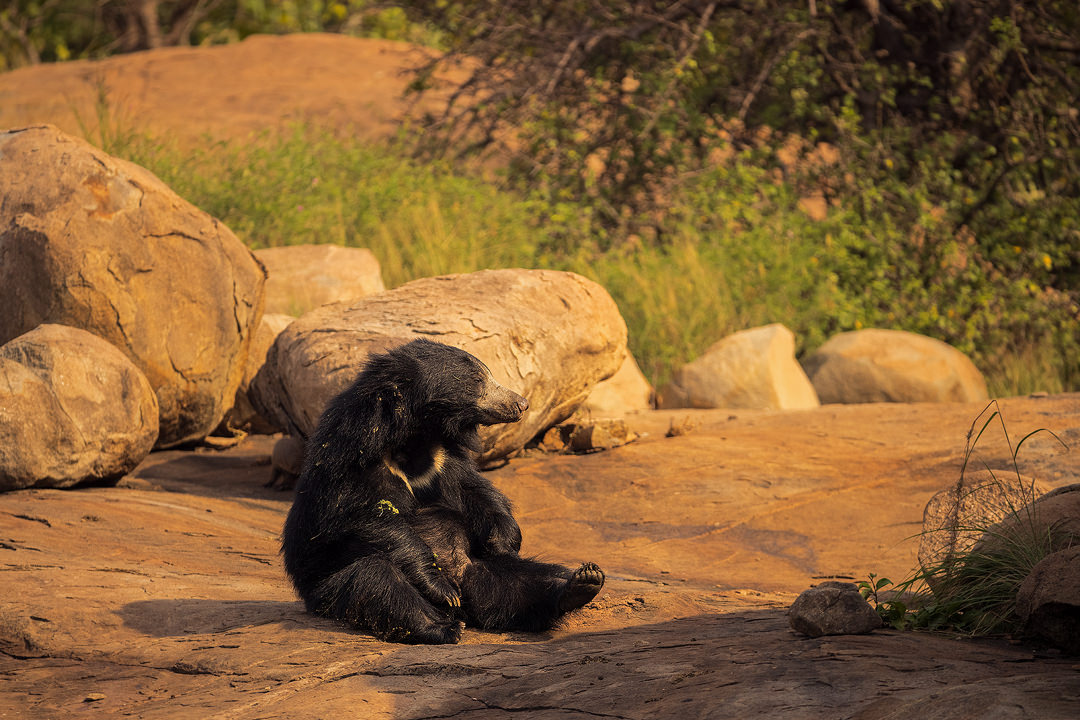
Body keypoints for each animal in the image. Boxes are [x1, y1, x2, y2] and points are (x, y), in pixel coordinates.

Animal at [280, 341, 609, 643]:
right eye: (478, 381)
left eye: (487, 375)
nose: (522, 403)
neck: (416, 434)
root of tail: (465, 604)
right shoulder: (351, 455)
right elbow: (365, 517)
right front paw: (436, 583)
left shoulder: (445, 457)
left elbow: (475, 491)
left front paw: (504, 539)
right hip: (328, 592)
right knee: (377, 581)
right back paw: (443, 624)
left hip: (482, 571)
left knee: (525, 579)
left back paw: (582, 582)